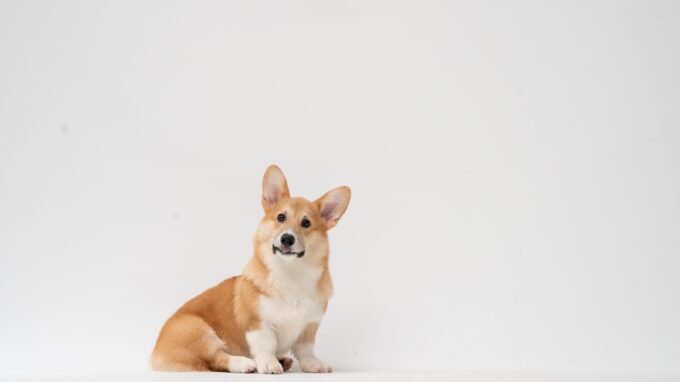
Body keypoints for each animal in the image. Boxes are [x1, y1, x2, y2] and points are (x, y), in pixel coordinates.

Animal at [150, 164, 350, 374]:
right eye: (281, 217)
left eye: (306, 223)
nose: (287, 239)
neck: (291, 273)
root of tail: (155, 352)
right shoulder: (258, 324)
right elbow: (266, 345)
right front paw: (269, 364)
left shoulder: (310, 325)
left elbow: (306, 349)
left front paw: (313, 364)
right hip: (198, 331)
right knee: (216, 358)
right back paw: (244, 363)